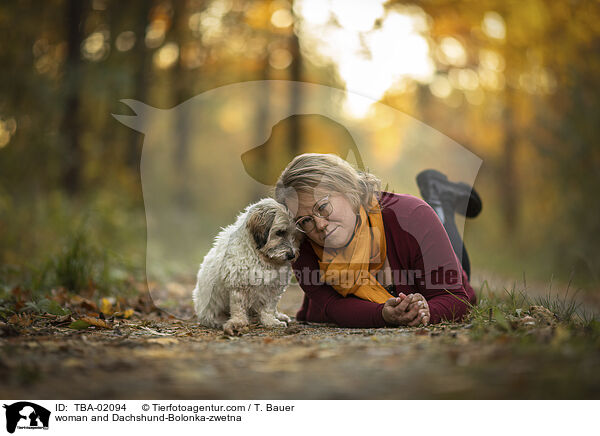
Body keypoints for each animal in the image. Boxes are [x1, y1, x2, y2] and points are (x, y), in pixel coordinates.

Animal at [193, 199, 300, 336]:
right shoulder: (238, 288)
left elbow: (268, 308)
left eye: (293, 234)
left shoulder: (272, 289)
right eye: (280, 232)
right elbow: (238, 308)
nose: (292, 255)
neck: (260, 256)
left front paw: (270, 321)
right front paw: (238, 322)